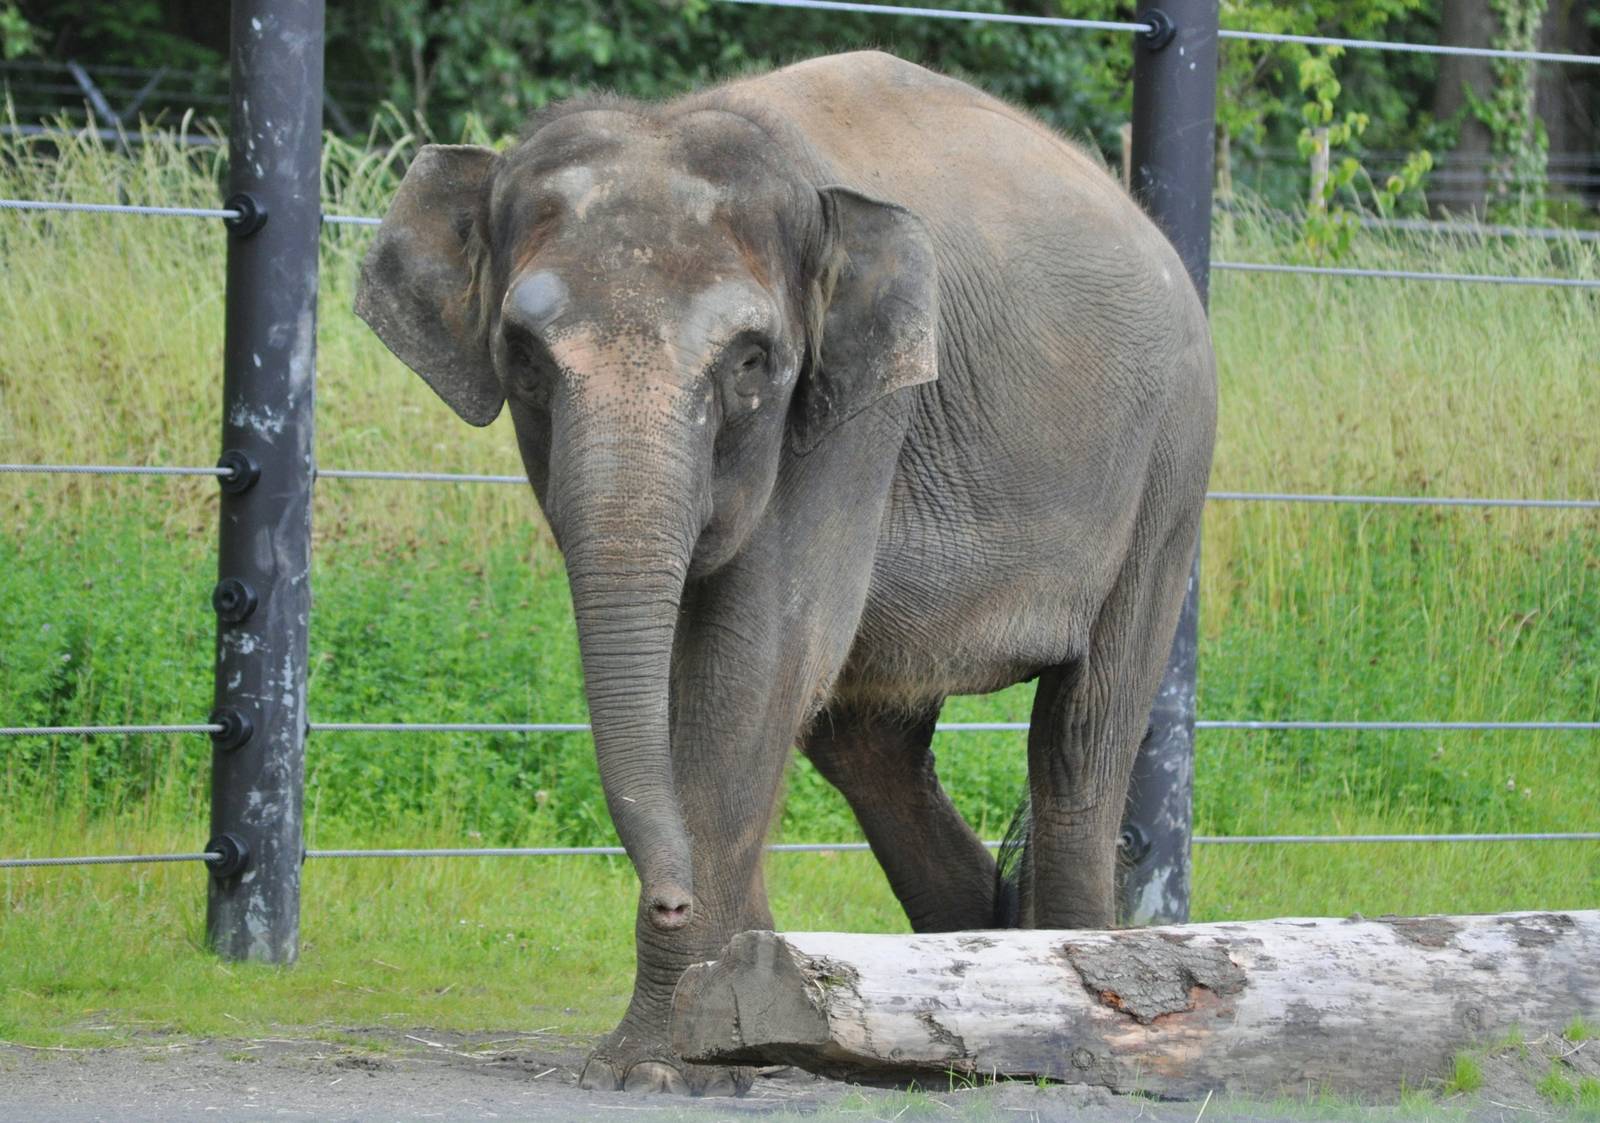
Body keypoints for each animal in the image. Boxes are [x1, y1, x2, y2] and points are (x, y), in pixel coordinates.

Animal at [356, 50, 1215, 1096]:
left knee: (1083, 735)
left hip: (1169, 470)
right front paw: (734, 1025)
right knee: (869, 746)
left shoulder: (858, 414)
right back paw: (963, 966)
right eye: (522, 357)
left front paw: (669, 1063)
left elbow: (755, 661)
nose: (672, 901)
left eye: (753, 361)